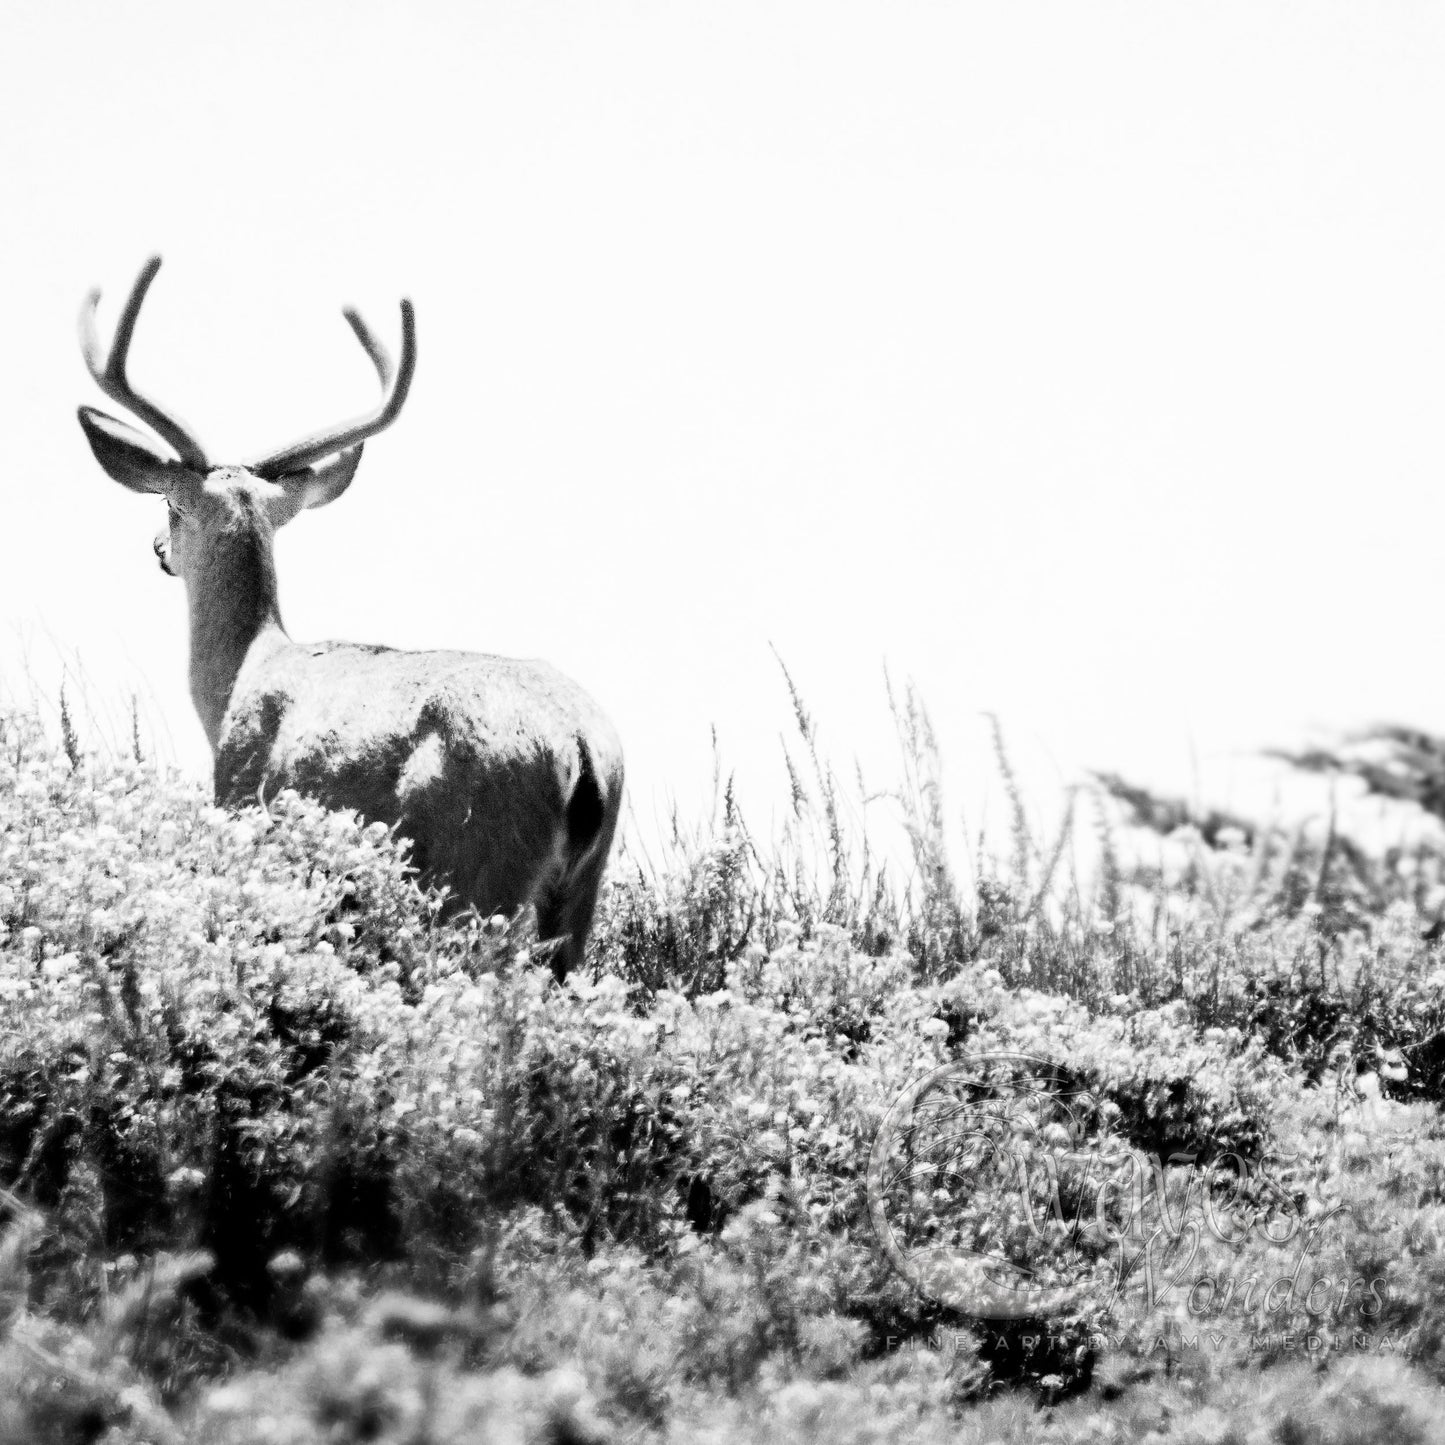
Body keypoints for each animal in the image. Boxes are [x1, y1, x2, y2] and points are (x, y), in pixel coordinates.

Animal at [77, 260, 621, 982]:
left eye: (169, 504)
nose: (158, 549)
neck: (242, 674)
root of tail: (584, 752)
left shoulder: (242, 800)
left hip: (477, 865)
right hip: (579, 894)